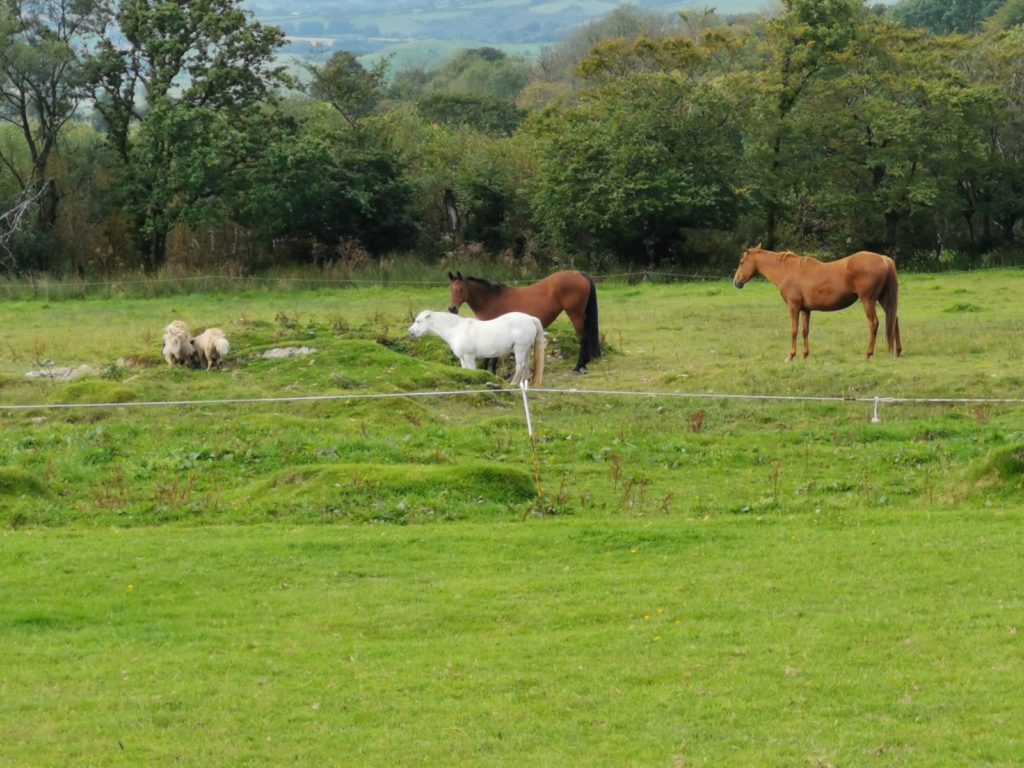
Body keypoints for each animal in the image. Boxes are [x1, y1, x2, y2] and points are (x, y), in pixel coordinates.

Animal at [407, 309, 544, 387]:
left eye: (418, 321)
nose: (410, 332)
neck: (457, 329)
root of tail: (531, 318)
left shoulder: (469, 357)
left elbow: (473, 370)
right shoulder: (462, 358)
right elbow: (466, 370)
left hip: (520, 349)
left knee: (520, 366)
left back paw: (513, 383)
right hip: (525, 350)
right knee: (526, 366)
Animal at [448, 272, 598, 374]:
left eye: (461, 289)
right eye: (450, 289)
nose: (452, 309)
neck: (490, 300)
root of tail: (578, 273)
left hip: (575, 313)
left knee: (583, 337)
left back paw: (578, 367)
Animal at [733, 244, 901, 362]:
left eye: (741, 262)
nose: (736, 282)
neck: (788, 271)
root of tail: (883, 259)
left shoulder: (794, 307)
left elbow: (794, 330)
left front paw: (791, 356)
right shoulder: (806, 310)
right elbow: (805, 331)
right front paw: (805, 355)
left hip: (868, 301)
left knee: (874, 323)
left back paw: (868, 354)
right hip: (884, 299)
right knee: (894, 319)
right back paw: (898, 351)